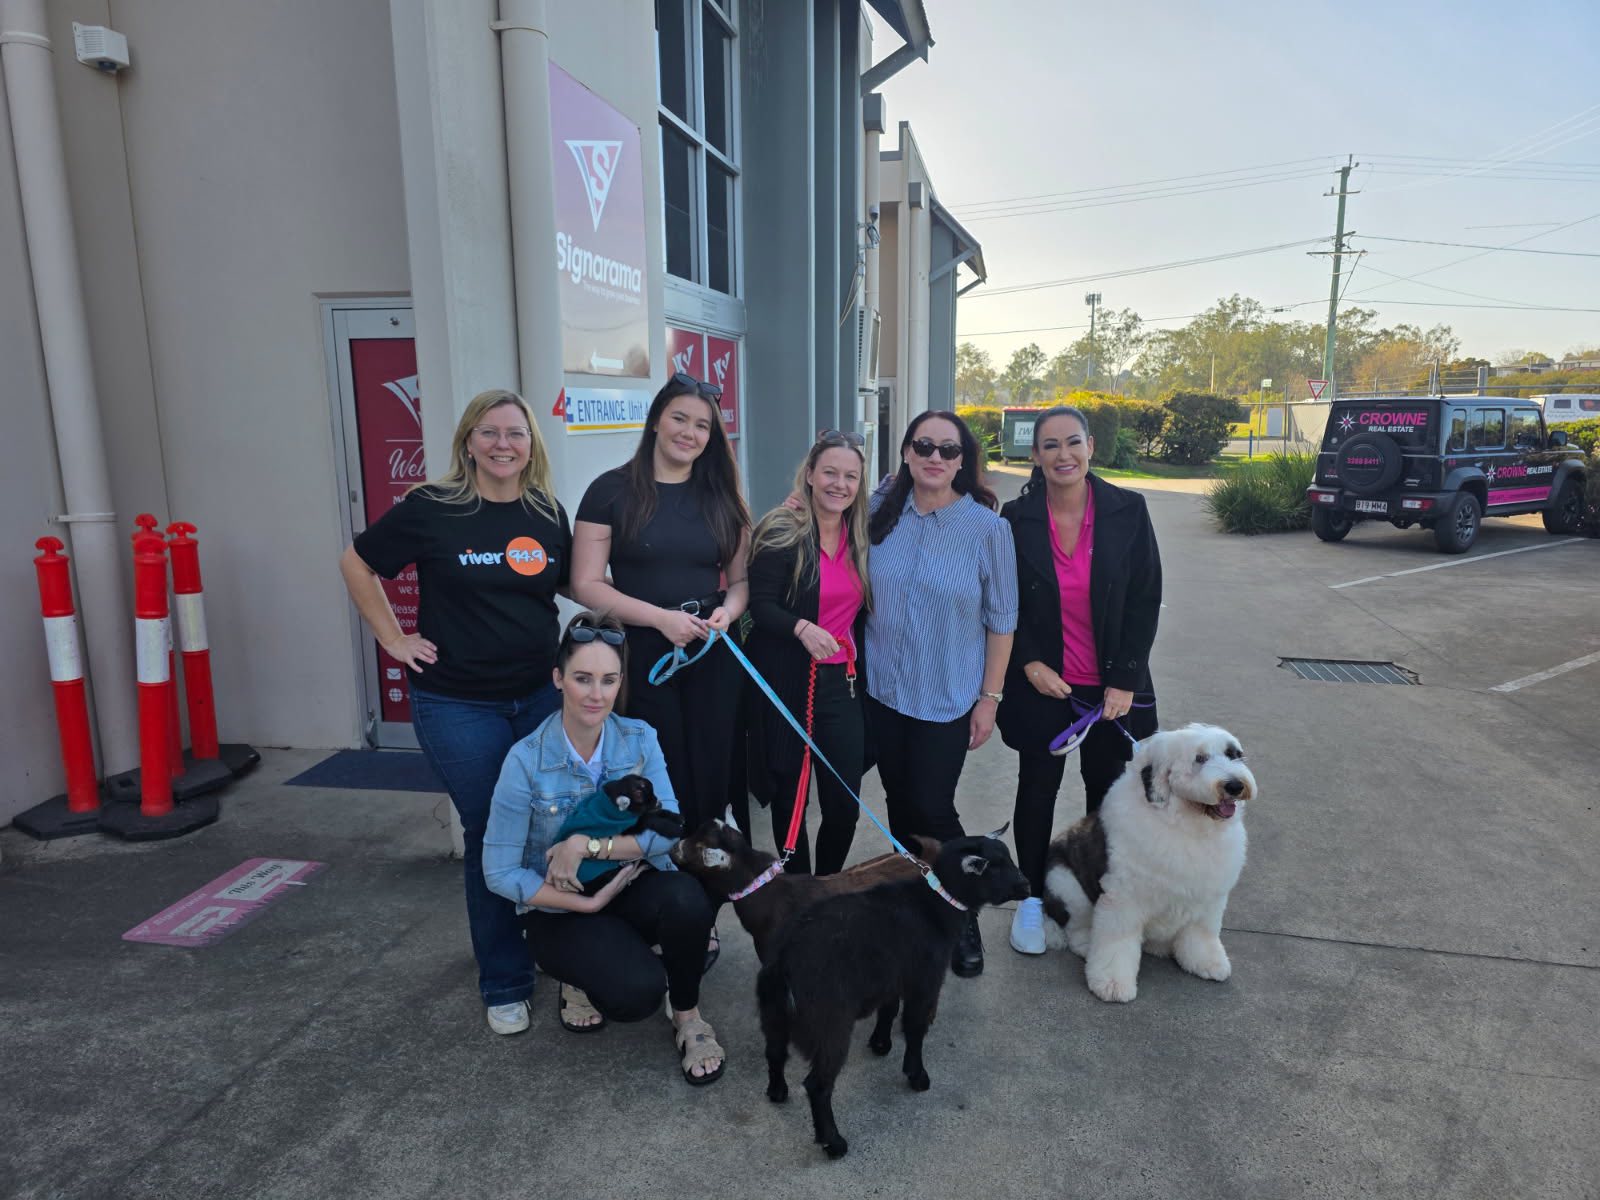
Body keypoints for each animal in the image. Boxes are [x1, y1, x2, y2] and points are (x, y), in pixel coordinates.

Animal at [556, 774, 684, 895]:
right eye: (647, 798)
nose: (658, 801)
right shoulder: (631, 826)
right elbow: (651, 819)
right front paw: (673, 829)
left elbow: (659, 813)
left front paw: (676, 817)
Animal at [756, 835, 1030, 1159]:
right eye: (996, 866)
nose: (1026, 887)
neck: (935, 905)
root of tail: (784, 962)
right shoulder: (924, 981)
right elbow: (914, 1027)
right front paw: (917, 1076)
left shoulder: (892, 975)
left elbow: (888, 1009)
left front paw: (880, 1043)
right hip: (830, 1025)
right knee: (818, 1085)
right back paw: (833, 1142)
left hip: (773, 1014)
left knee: (775, 1053)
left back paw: (777, 1091)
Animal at [1041, 723, 1254, 1003]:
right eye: (1199, 758)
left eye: (1233, 755)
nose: (1234, 785)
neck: (1186, 824)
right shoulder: (1123, 899)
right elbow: (1117, 941)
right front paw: (1112, 984)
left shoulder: (1209, 897)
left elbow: (1202, 931)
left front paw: (1208, 963)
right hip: (1065, 884)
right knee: (1075, 928)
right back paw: (1088, 945)